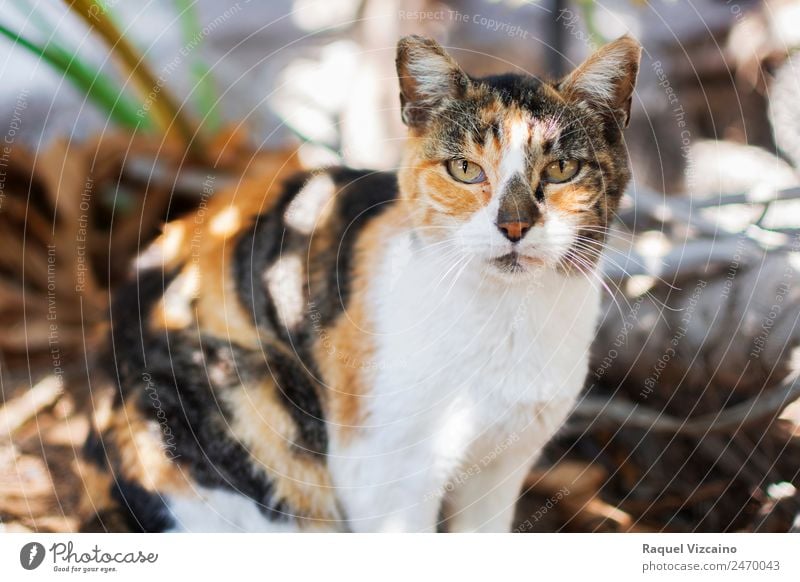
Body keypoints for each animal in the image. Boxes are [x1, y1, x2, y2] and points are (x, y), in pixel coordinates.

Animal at [86, 33, 636, 532]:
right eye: (464, 169)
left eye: (562, 168)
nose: (515, 225)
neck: (508, 317)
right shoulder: (385, 478)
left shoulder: (502, 466)